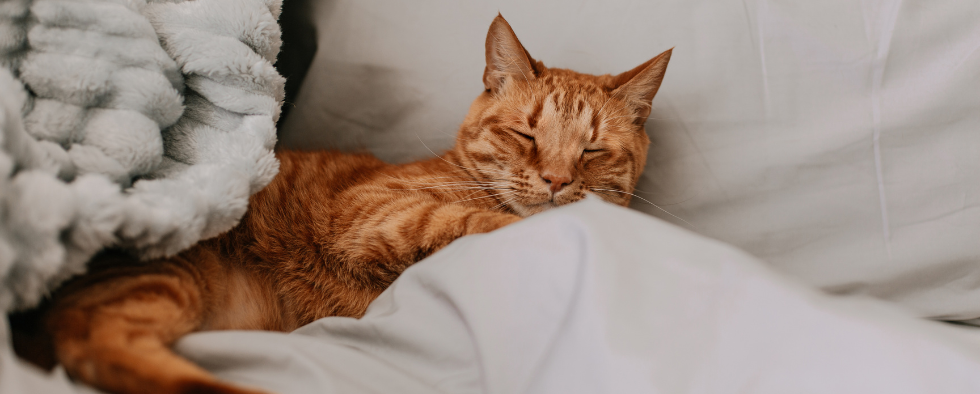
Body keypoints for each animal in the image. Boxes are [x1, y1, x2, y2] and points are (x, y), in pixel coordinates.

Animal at [36, 14, 668, 394]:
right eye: (526, 135)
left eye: (592, 150)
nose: (558, 180)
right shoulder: (369, 212)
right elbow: (472, 220)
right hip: (167, 276)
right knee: (100, 348)